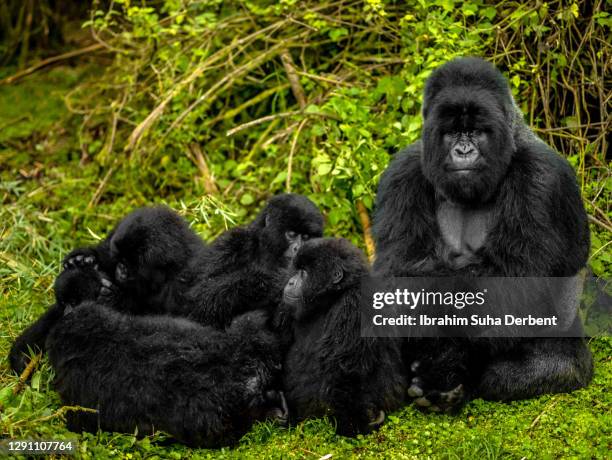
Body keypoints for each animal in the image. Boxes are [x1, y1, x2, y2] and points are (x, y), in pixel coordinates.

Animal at [280, 239, 408, 436]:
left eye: (304, 273)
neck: (333, 295)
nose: (291, 282)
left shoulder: (354, 306)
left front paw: (352, 424)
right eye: (297, 270)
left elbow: (346, 373)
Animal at [372, 56, 592, 406]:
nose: (463, 151)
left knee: (552, 366)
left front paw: (446, 363)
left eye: (475, 132)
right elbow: (398, 270)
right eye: (452, 133)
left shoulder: (541, 177)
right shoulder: (402, 173)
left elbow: (516, 281)